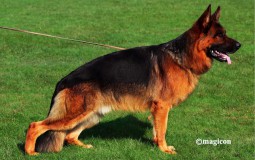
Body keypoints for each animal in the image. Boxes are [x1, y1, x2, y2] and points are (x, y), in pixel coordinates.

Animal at [25, 4, 241, 155]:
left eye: (225, 33)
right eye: (219, 35)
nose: (240, 45)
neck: (182, 56)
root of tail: (63, 80)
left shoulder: (158, 109)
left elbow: (157, 130)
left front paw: (156, 145)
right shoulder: (162, 107)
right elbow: (163, 129)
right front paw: (164, 150)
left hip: (92, 114)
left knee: (69, 135)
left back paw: (83, 147)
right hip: (77, 114)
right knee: (35, 126)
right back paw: (31, 152)